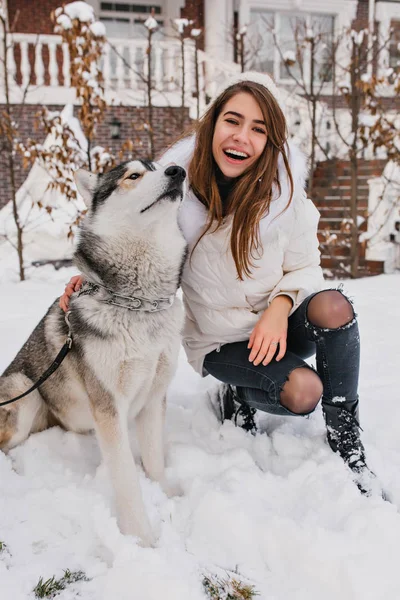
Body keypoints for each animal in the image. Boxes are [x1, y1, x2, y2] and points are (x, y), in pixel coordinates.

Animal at [0, 161, 188, 548]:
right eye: (133, 176)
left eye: (159, 167)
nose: (178, 170)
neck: (139, 305)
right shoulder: (108, 406)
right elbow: (127, 479)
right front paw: (142, 539)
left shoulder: (154, 396)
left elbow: (154, 459)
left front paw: (164, 491)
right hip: (22, 389)